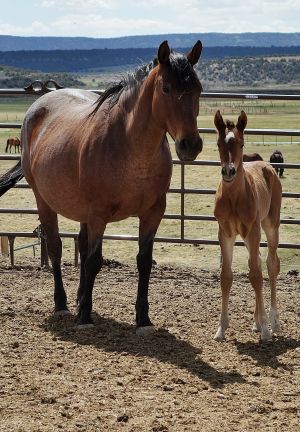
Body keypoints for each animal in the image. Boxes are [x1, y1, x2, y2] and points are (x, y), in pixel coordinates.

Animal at [0, 40, 204, 334]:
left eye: (198, 90)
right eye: (166, 88)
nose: (191, 145)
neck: (132, 149)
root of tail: (38, 104)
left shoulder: (153, 212)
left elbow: (143, 261)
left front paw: (143, 319)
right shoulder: (99, 213)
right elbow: (94, 261)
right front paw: (85, 317)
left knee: (83, 247)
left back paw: (79, 298)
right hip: (45, 202)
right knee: (55, 247)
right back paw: (62, 304)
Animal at [213, 109, 282, 342]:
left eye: (241, 144)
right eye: (218, 143)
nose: (229, 172)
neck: (234, 198)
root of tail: (267, 165)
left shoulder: (253, 230)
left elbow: (256, 276)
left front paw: (266, 331)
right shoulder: (225, 232)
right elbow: (226, 276)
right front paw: (221, 328)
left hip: (270, 226)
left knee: (270, 264)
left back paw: (273, 321)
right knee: (258, 262)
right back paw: (257, 321)